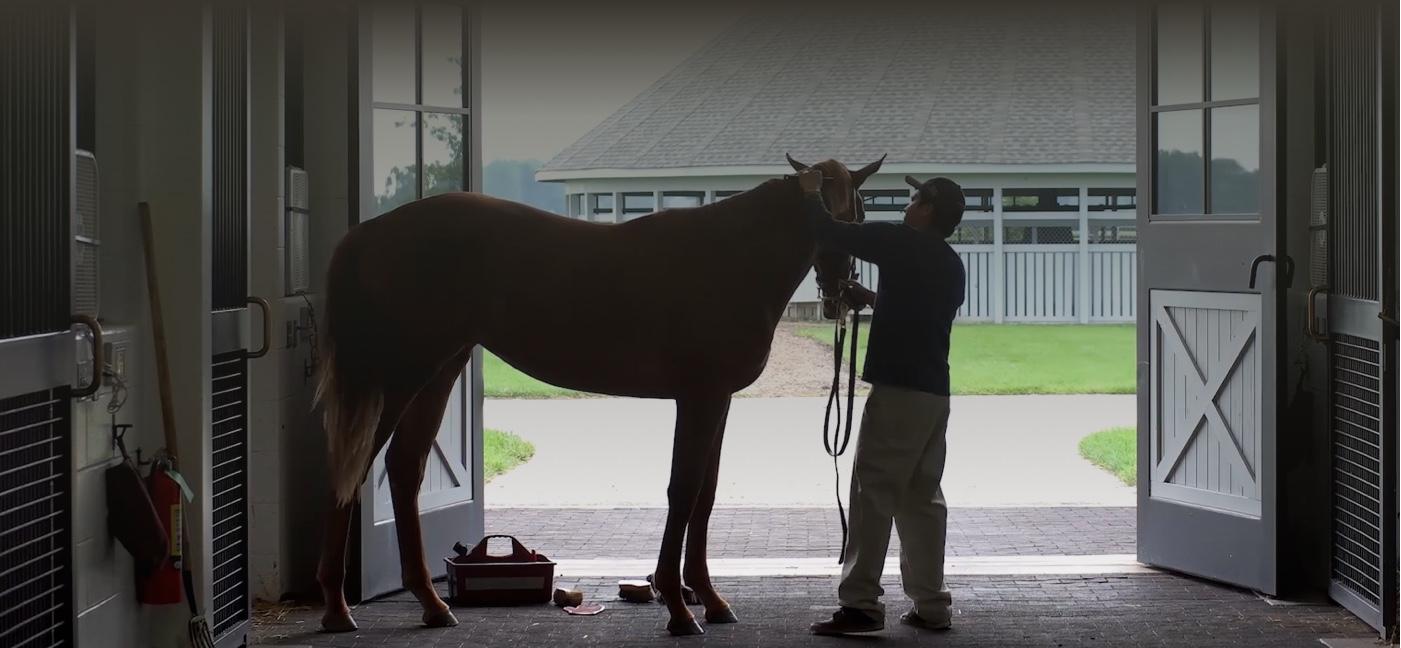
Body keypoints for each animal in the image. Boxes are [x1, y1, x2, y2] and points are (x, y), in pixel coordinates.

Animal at [318, 154, 885, 635]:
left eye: (858, 211)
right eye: (838, 214)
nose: (843, 292)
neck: (729, 259)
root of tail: (370, 232)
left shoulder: (718, 399)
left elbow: (705, 496)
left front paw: (710, 599)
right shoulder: (698, 396)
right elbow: (683, 491)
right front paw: (679, 608)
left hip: (439, 370)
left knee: (404, 467)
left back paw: (431, 604)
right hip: (403, 375)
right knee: (355, 467)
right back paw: (337, 609)